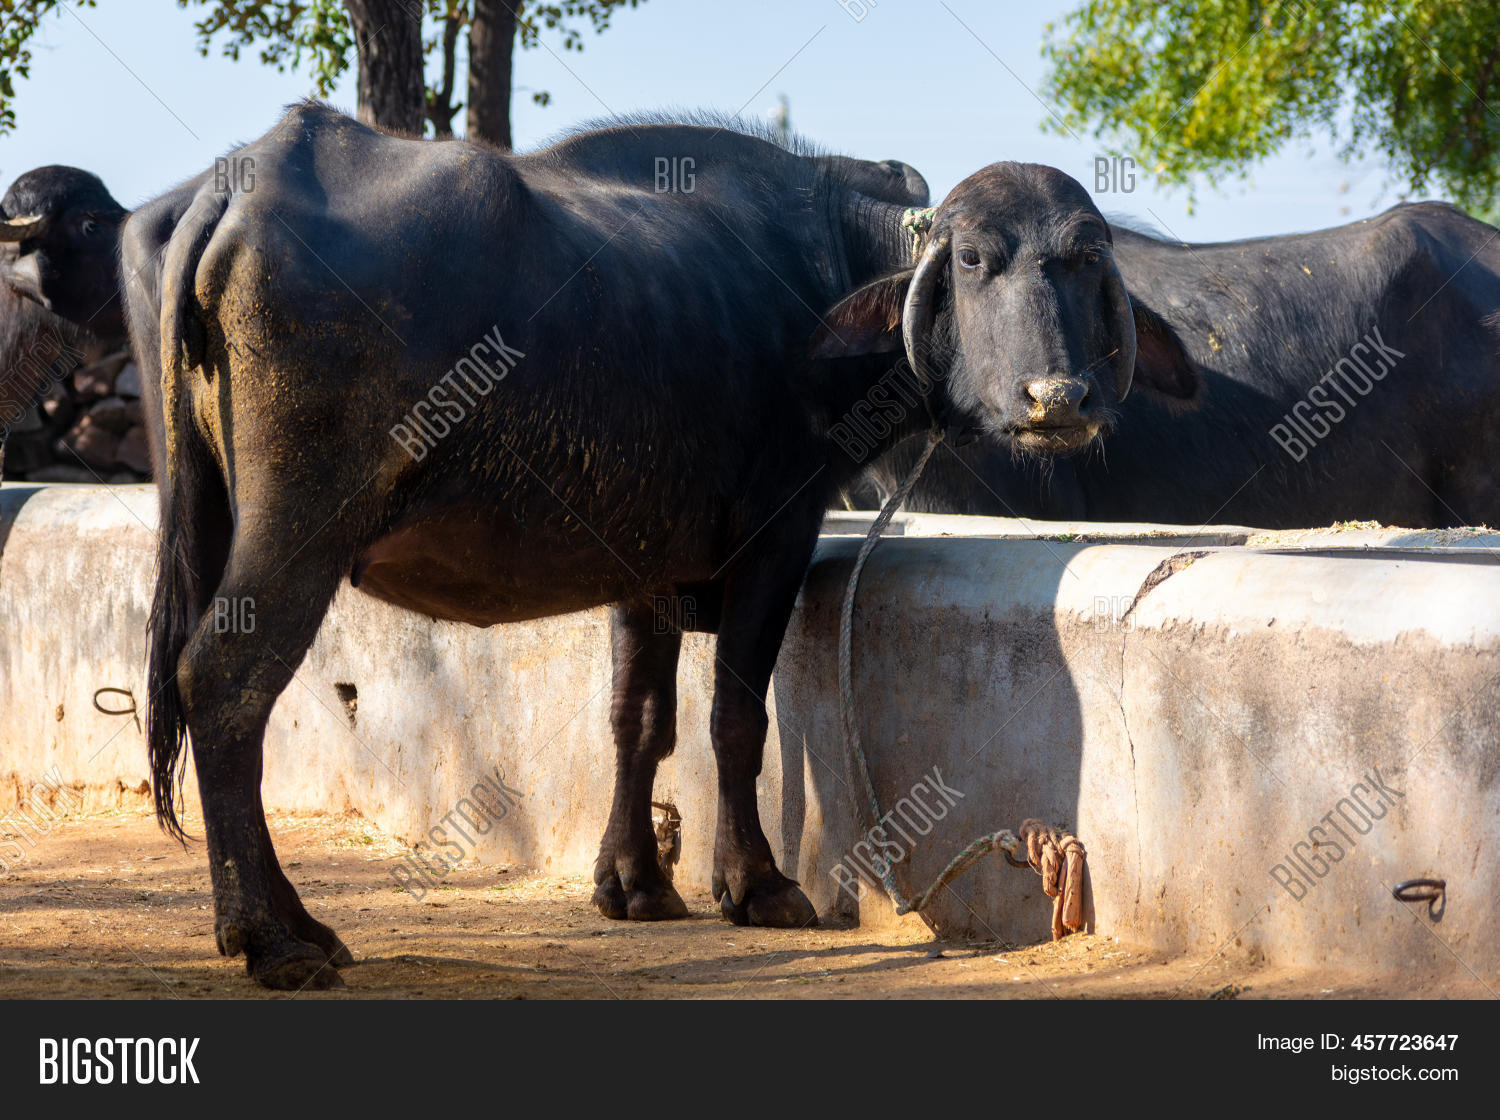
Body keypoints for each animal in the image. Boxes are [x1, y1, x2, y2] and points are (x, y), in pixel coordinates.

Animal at [121, 103, 1191, 988]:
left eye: (1086, 259)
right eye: (971, 259)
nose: (1058, 398)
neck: (819, 275)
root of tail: (244, 179)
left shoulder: (644, 565)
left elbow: (637, 719)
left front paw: (632, 880)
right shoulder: (773, 541)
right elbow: (734, 720)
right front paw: (756, 886)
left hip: (205, 511)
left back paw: (295, 925)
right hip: (299, 523)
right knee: (225, 681)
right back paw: (274, 937)